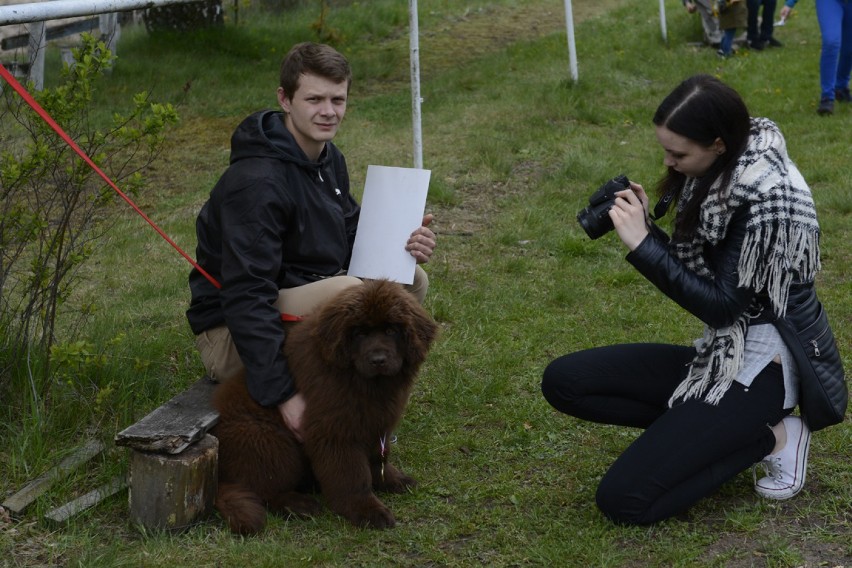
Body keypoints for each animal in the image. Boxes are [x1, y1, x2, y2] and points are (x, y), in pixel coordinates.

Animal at [211, 282, 440, 536]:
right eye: (360, 333)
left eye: (391, 331)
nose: (378, 360)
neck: (362, 380)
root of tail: (220, 475)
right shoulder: (336, 429)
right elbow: (352, 475)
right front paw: (367, 511)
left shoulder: (377, 420)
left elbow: (378, 458)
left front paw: (393, 480)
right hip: (268, 441)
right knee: (265, 489)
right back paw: (299, 505)